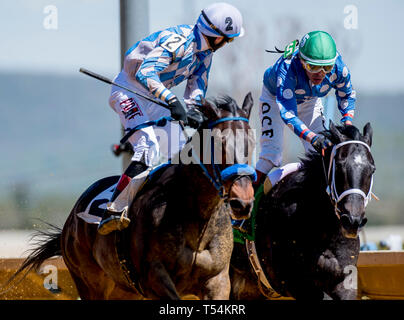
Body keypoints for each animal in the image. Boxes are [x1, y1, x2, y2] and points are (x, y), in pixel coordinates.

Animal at [3, 93, 256, 300]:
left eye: (252, 142)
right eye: (219, 142)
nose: (242, 202)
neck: (197, 218)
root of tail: (71, 220)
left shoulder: (218, 281)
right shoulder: (154, 279)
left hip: (124, 290)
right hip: (90, 283)